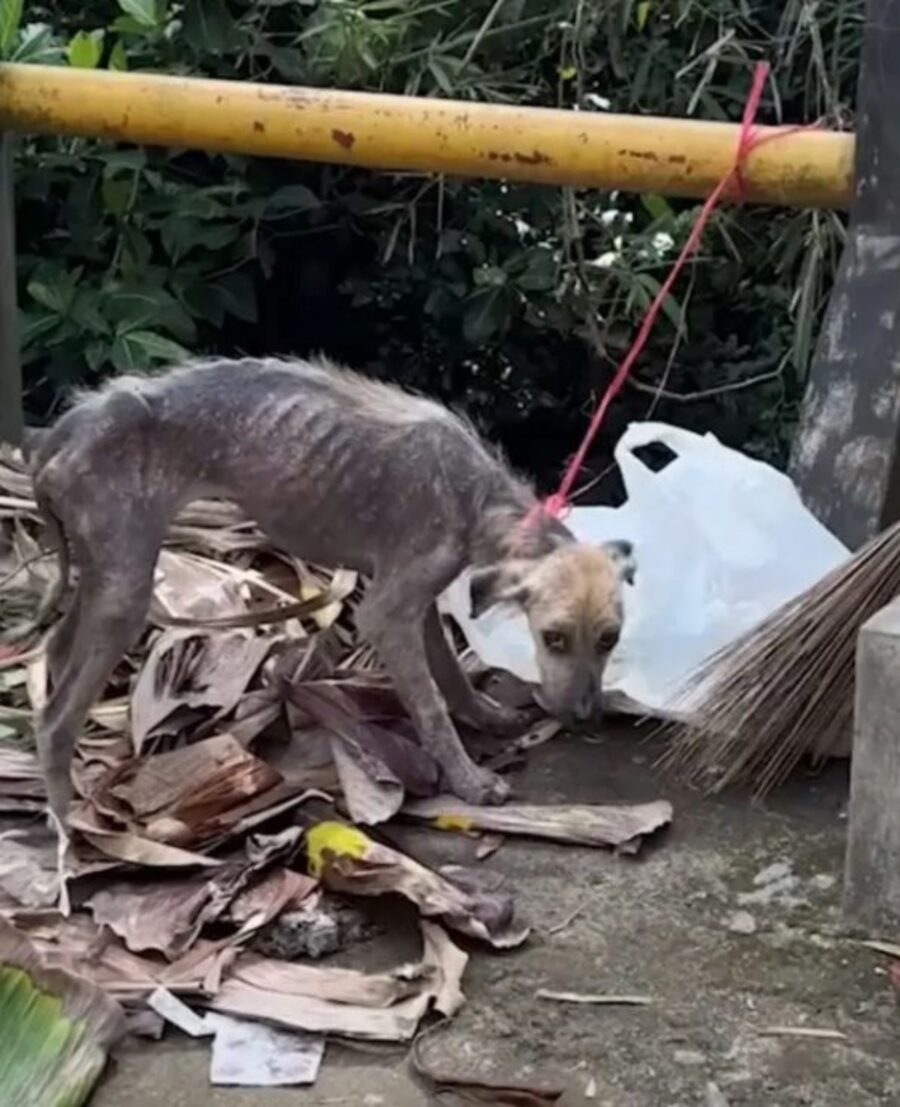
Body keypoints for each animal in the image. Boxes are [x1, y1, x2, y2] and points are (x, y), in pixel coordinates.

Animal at [26, 356, 633, 823]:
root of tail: (75, 420)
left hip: (106, 570)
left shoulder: (415, 603)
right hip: (124, 591)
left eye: (610, 639)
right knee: (54, 722)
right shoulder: (387, 612)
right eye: (553, 639)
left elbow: (450, 675)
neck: (476, 494)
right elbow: (431, 705)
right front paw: (469, 781)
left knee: (56, 653)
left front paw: (486, 718)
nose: (586, 717)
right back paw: (68, 833)